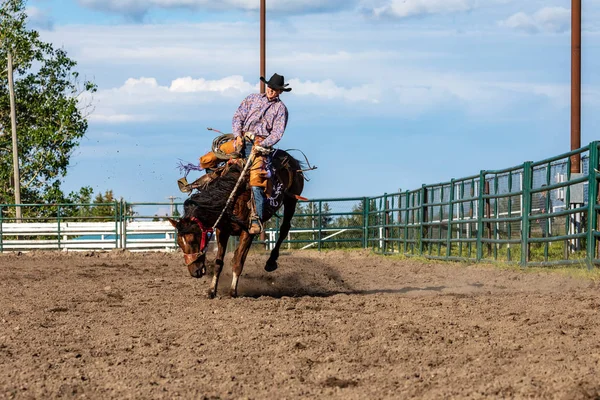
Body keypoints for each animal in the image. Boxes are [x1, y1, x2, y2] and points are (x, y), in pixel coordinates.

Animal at [169, 152, 304, 298]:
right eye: (179, 243)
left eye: (193, 240)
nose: (194, 272)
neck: (231, 199)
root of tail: (291, 158)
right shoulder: (222, 231)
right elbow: (218, 262)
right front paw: (211, 290)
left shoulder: (247, 232)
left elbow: (238, 262)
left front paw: (233, 291)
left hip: (291, 200)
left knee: (285, 228)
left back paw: (271, 262)